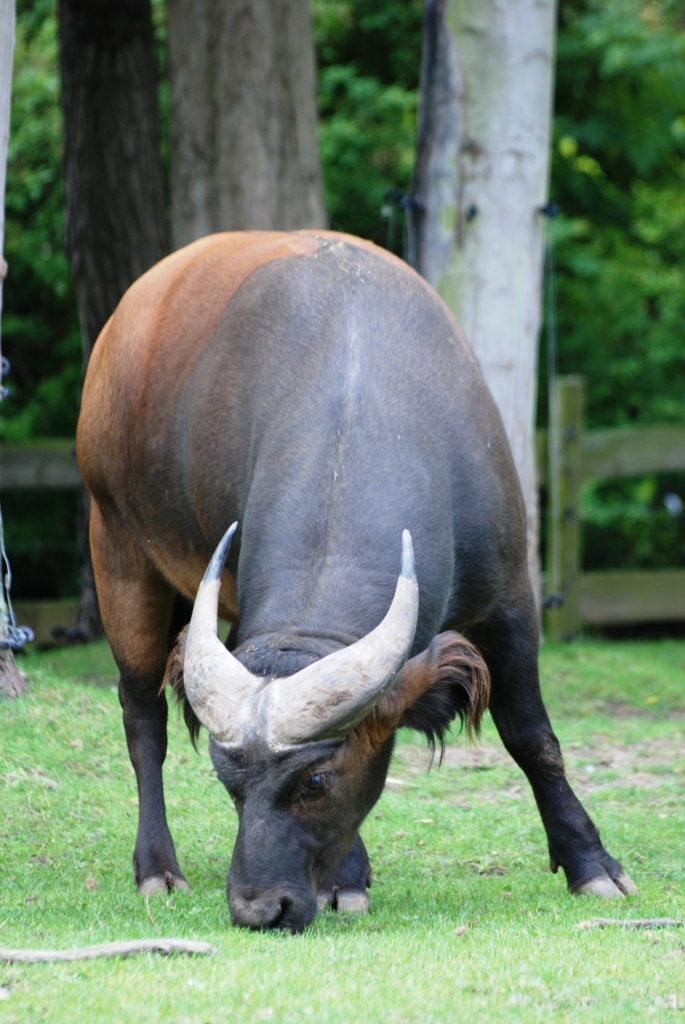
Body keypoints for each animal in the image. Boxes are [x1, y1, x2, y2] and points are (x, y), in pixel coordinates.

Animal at [77, 230, 635, 931]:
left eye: (315, 782)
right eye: (228, 784)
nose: (258, 908)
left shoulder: (510, 599)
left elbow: (532, 735)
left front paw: (592, 864)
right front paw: (347, 878)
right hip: (118, 549)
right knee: (142, 715)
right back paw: (157, 867)